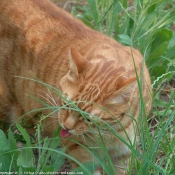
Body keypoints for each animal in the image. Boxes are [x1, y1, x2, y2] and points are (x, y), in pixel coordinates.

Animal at [0, 0, 152, 174]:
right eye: (66, 104)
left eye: (88, 118)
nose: (66, 127)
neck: (111, 131)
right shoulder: (79, 148)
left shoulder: (125, 152)